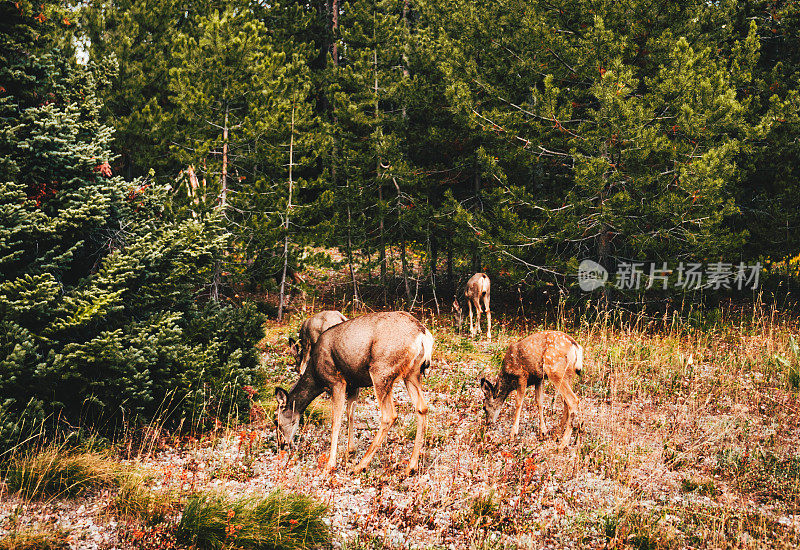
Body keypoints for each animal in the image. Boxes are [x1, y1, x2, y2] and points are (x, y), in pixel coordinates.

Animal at [276, 312, 438, 476]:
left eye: (277, 421)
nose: (281, 444)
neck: (316, 376)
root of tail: (423, 334)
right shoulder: (354, 385)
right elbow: (350, 414)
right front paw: (350, 451)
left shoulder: (336, 381)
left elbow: (336, 420)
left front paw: (330, 464)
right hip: (412, 373)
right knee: (422, 408)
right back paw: (411, 467)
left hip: (381, 370)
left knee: (389, 415)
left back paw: (361, 466)